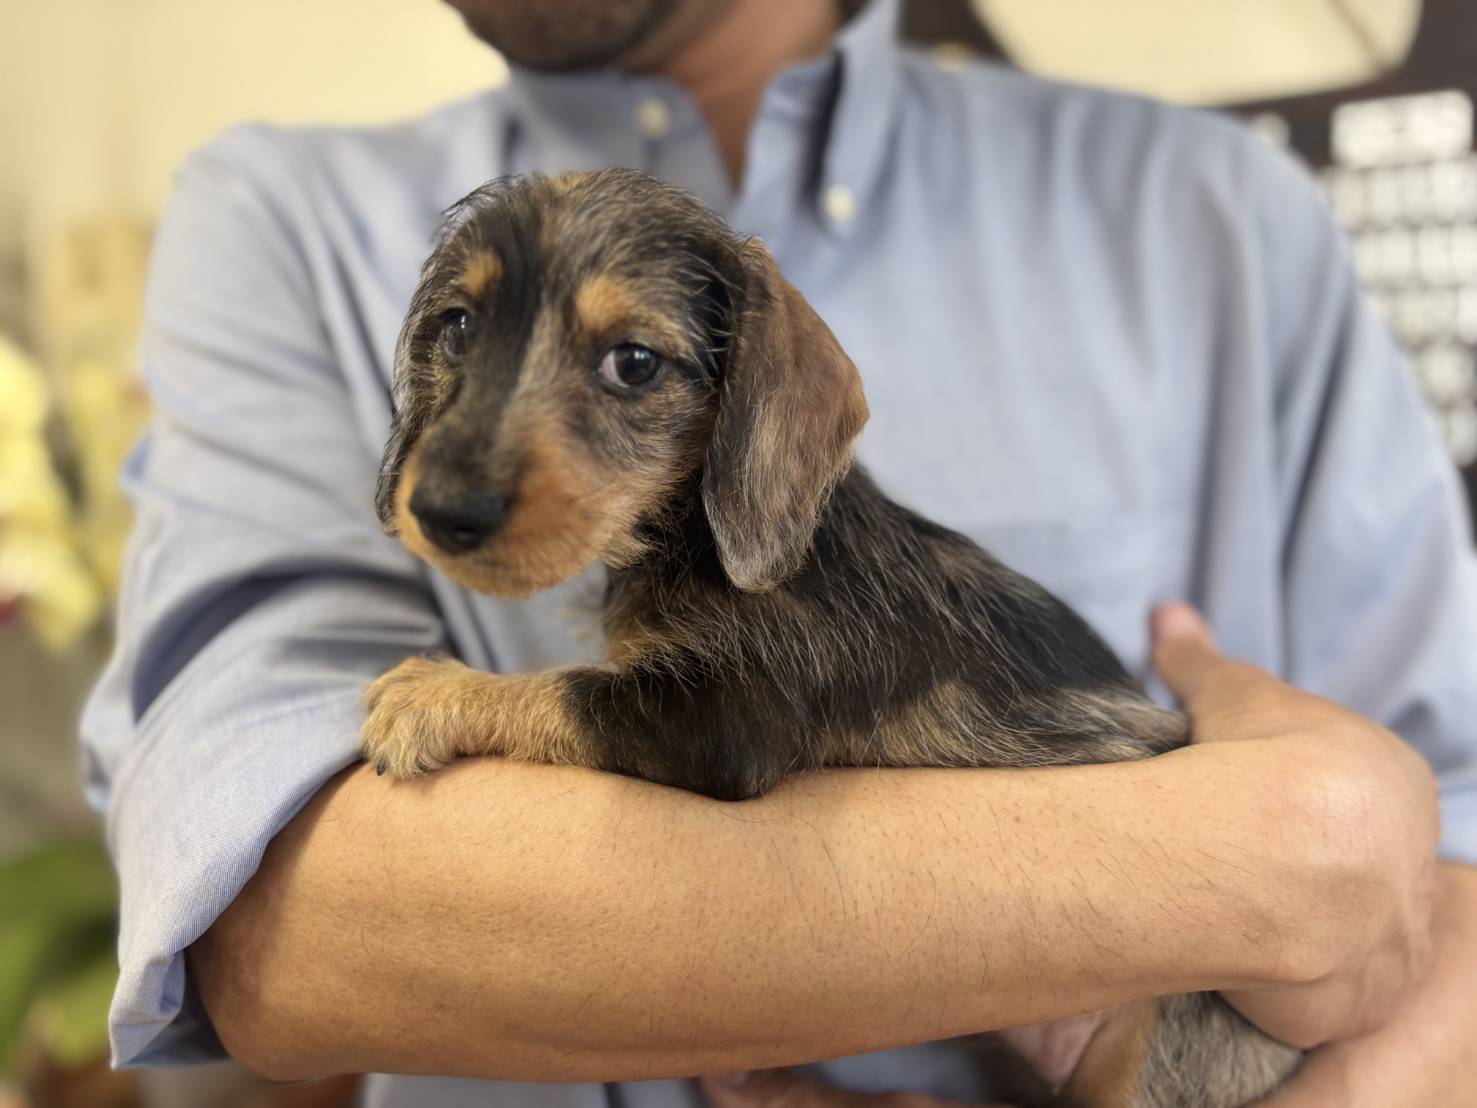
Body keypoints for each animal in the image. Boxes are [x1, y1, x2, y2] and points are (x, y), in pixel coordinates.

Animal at [363, 169, 1299, 1108]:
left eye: (633, 362)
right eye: (459, 326)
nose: (441, 511)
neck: (696, 535)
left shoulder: (719, 720)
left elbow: (562, 689)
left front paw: (432, 692)